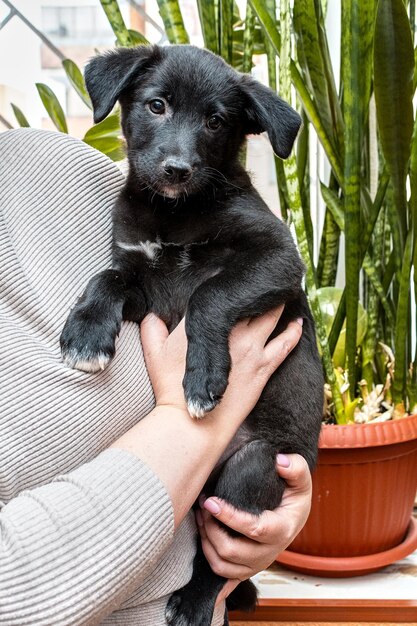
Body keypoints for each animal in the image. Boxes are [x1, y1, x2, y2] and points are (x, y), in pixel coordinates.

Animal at [60, 45, 324, 624]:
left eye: (216, 121)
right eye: (156, 105)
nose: (176, 169)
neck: (173, 210)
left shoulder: (277, 259)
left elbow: (209, 295)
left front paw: (203, 378)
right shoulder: (144, 284)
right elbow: (107, 277)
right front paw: (86, 334)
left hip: (254, 466)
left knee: (221, 559)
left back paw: (197, 601)